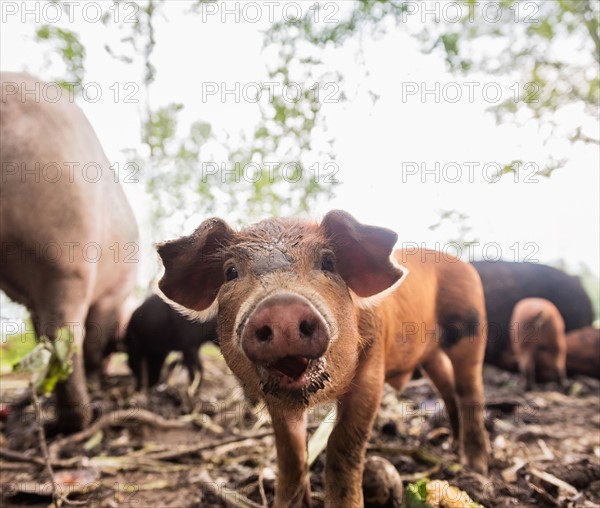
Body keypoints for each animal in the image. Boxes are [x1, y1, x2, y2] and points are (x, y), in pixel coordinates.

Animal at [0, 73, 138, 430]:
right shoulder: (111, 295)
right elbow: (94, 342)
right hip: (66, 257)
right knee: (67, 336)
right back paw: (77, 419)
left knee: (51, 339)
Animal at [157, 212, 490, 506]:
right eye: (230, 272)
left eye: (329, 262)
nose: (282, 306)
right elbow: (290, 452)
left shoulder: (373, 367)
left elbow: (343, 444)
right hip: (431, 356)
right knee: (448, 390)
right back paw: (454, 444)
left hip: (470, 325)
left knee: (470, 389)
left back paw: (474, 466)